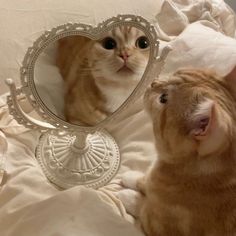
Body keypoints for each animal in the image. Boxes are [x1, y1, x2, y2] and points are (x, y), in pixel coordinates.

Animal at [120, 67, 236, 236]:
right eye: (175, 73)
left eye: (163, 98)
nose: (153, 82)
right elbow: (145, 180)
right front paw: (132, 178)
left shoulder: (158, 226)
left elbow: (142, 206)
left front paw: (129, 196)